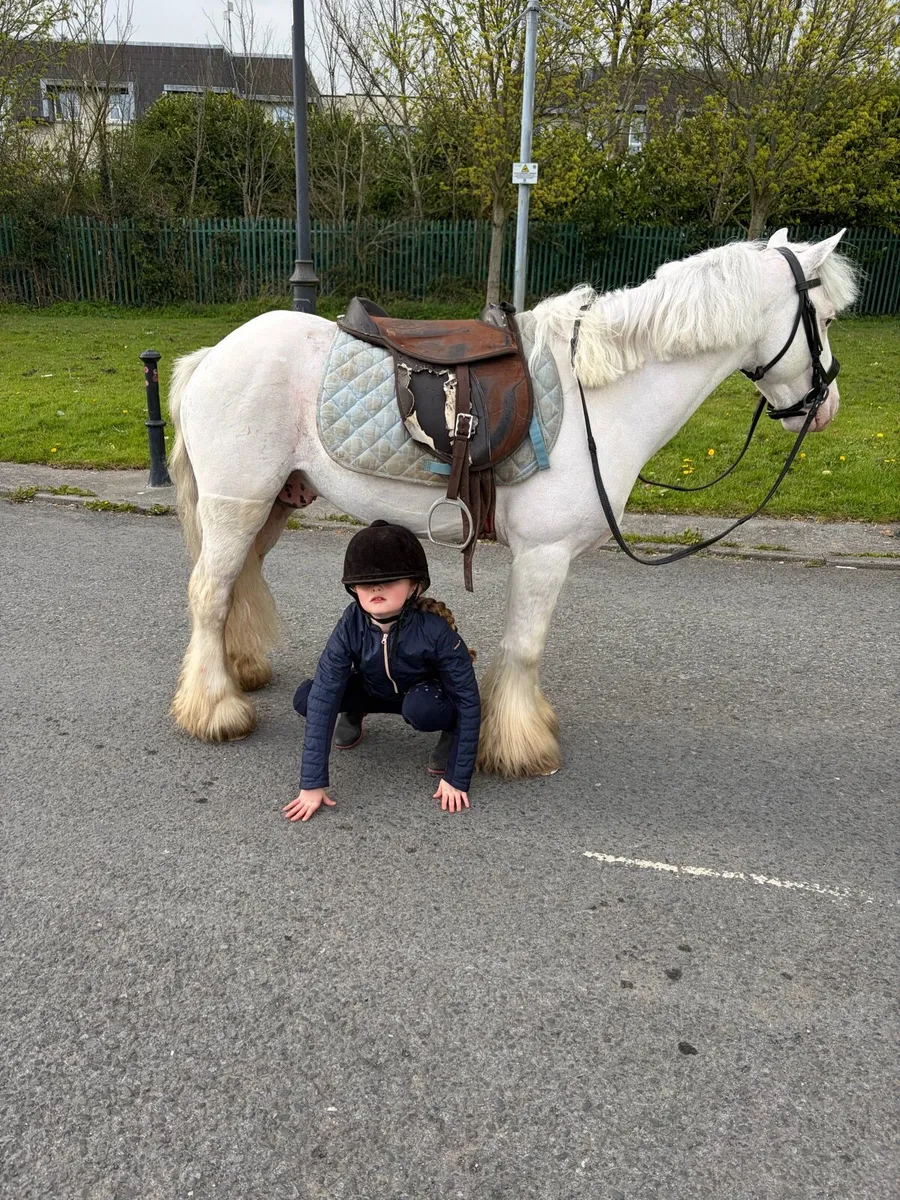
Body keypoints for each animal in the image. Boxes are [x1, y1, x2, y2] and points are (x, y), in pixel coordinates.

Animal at [166, 228, 857, 777]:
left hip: (272, 504)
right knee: (209, 593)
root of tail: (212, 356)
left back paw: (240, 670)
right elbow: (525, 646)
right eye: (823, 319)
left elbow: (516, 647)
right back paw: (216, 710)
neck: (599, 398)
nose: (826, 408)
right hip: (238, 504)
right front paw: (519, 748)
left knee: (237, 583)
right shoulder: (545, 554)